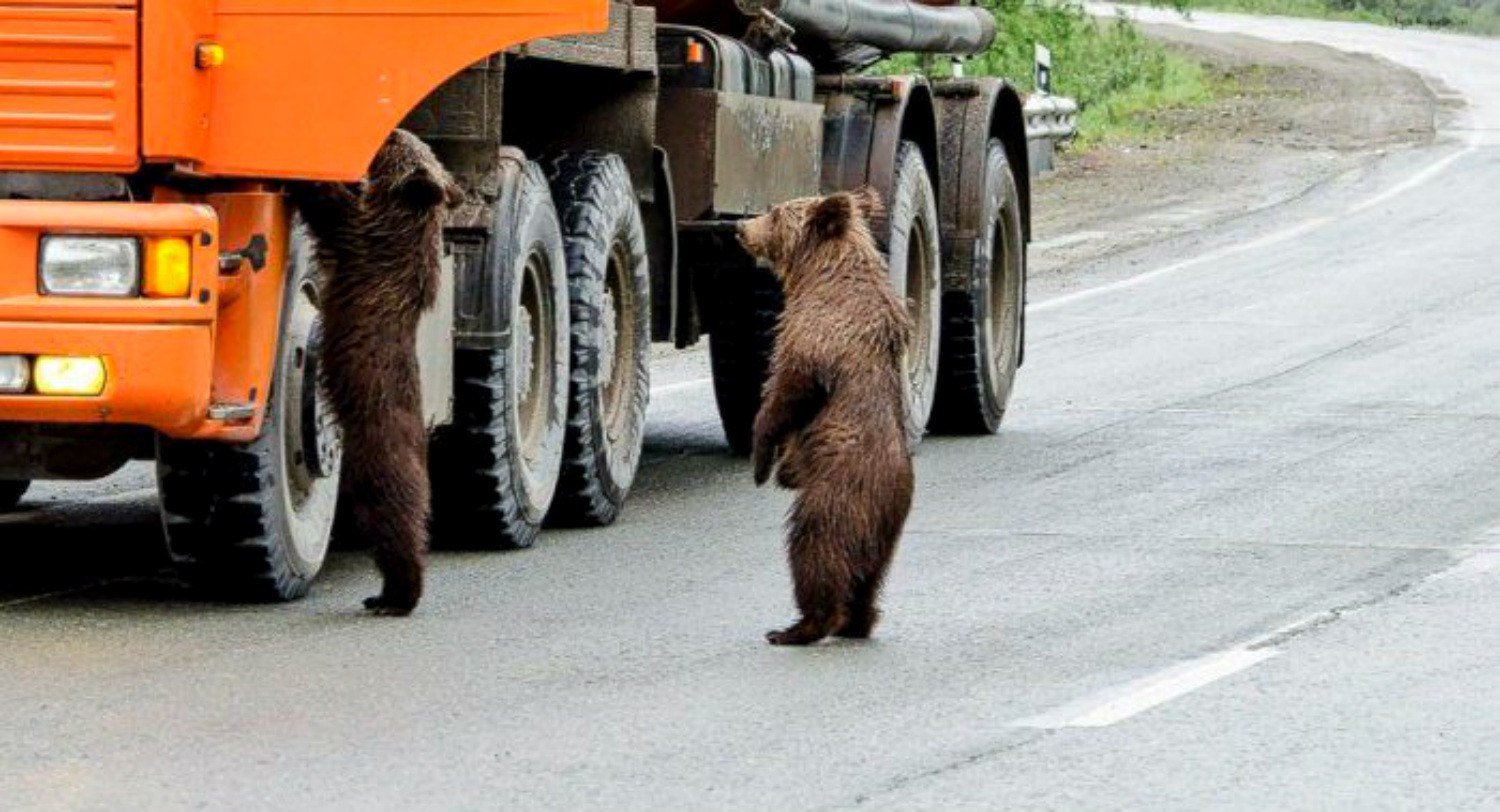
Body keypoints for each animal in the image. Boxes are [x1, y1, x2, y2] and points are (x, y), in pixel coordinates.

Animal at [289, 128, 459, 615]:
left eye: (397, 146)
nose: (396, 129)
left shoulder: (363, 237)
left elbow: (331, 207)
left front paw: (306, 177)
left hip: (375, 459)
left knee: (394, 527)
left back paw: (395, 595)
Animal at [735, 186, 912, 642]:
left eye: (774, 212)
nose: (740, 226)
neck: (816, 276)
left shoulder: (818, 336)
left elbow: (788, 393)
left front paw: (761, 461)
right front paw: (781, 470)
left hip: (836, 494)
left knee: (814, 549)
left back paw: (799, 627)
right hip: (884, 537)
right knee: (869, 578)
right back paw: (856, 622)